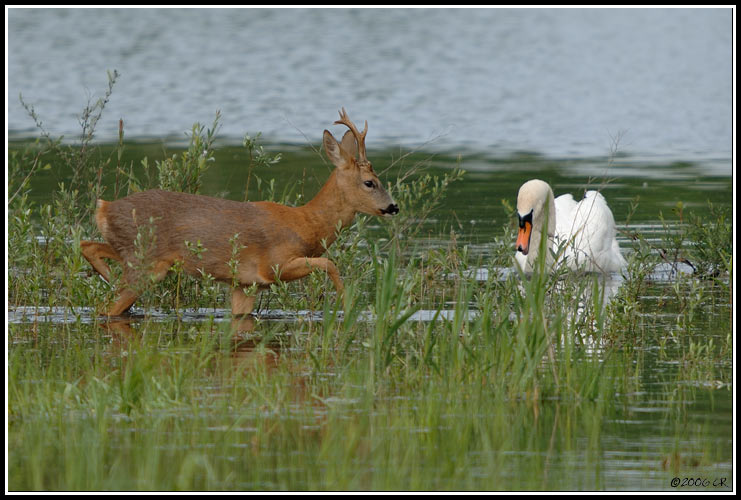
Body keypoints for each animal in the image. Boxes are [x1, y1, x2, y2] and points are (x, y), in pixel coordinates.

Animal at [81, 111, 398, 318]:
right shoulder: (275, 265)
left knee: (89, 246)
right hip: (144, 262)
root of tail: (104, 208)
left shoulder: (245, 284)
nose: (393, 207)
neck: (306, 224)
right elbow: (329, 264)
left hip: (135, 254)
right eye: (370, 182)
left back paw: (105, 273)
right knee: (106, 307)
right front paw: (348, 305)